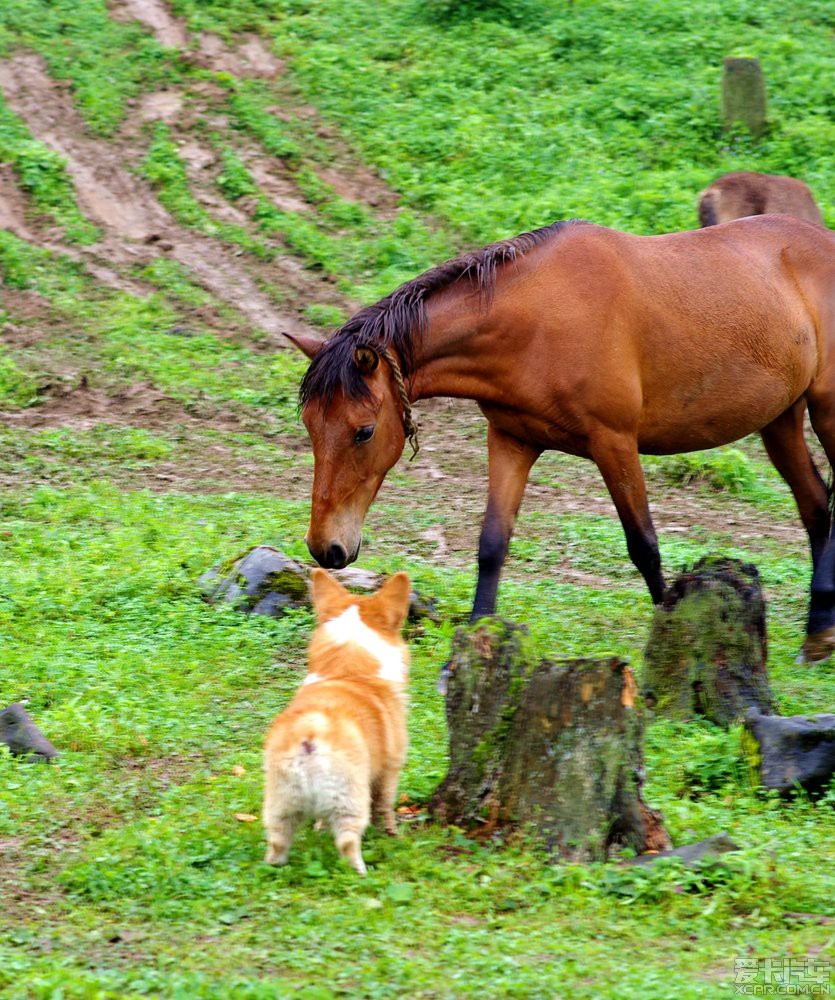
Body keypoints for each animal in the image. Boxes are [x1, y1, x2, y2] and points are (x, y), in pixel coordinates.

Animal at [264, 572, 412, 876]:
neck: (347, 671)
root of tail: (309, 735)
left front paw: (319, 830)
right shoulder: (390, 768)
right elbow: (385, 805)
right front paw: (392, 834)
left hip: (281, 801)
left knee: (277, 840)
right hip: (350, 799)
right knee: (347, 841)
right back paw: (361, 872)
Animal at [290, 214, 835, 664]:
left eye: (363, 431)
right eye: (312, 428)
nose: (326, 548)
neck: (538, 318)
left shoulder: (614, 443)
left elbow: (644, 545)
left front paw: (673, 640)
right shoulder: (511, 440)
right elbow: (492, 544)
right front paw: (478, 641)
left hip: (826, 411)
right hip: (780, 419)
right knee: (816, 506)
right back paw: (817, 634)